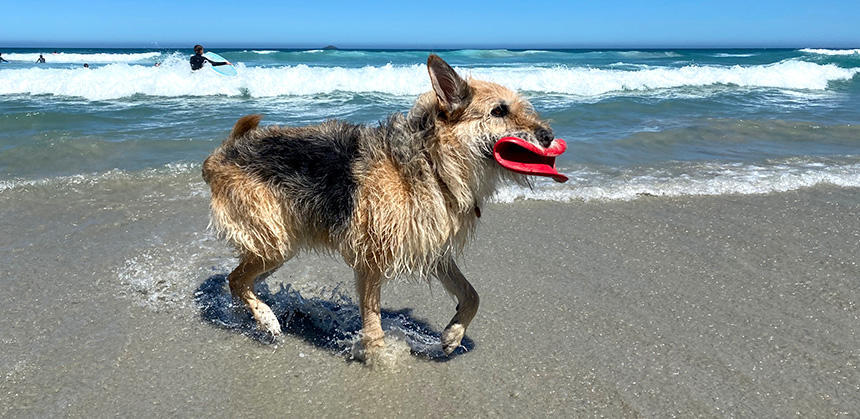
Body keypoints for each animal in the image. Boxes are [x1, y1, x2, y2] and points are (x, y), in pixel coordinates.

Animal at [201, 55, 564, 358]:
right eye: (498, 112)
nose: (548, 136)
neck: (431, 161)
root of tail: (222, 152)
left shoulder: (433, 248)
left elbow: (472, 295)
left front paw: (452, 336)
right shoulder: (370, 257)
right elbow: (372, 319)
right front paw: (380, 359)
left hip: (278, 245)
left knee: (239, 279)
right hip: (276, 241)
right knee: (236, 280)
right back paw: (266, 319)